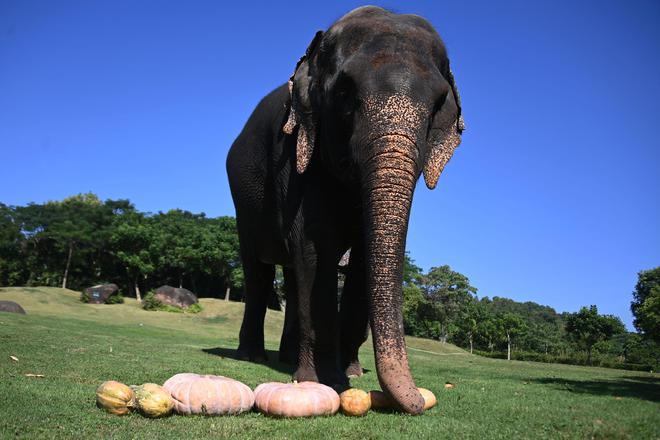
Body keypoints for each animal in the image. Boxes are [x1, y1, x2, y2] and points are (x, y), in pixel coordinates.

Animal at [227, 5, 464, 414]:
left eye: (438, 105)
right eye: (345, 93)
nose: (422, 400)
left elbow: (361, 261)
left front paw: (348, 373)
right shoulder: (296, 153)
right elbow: (313, 246)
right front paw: (322, 380)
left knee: (291, 274)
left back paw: (288, 358)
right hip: (242, 197)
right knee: (259, 269)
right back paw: (254, 356)